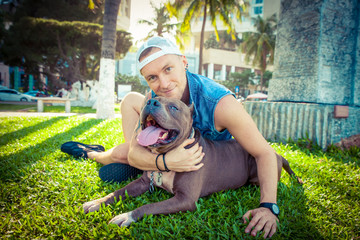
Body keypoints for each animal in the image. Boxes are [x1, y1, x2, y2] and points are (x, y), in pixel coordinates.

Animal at [82, 96, 300, 227]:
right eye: (151, 100)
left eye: (173, 107)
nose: (150, 102)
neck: (168, 154)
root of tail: (276, 153)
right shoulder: (143, 182)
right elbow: (119, 192)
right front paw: (97, 202)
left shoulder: (185, 199)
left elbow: (148, 207)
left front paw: (126, 216)